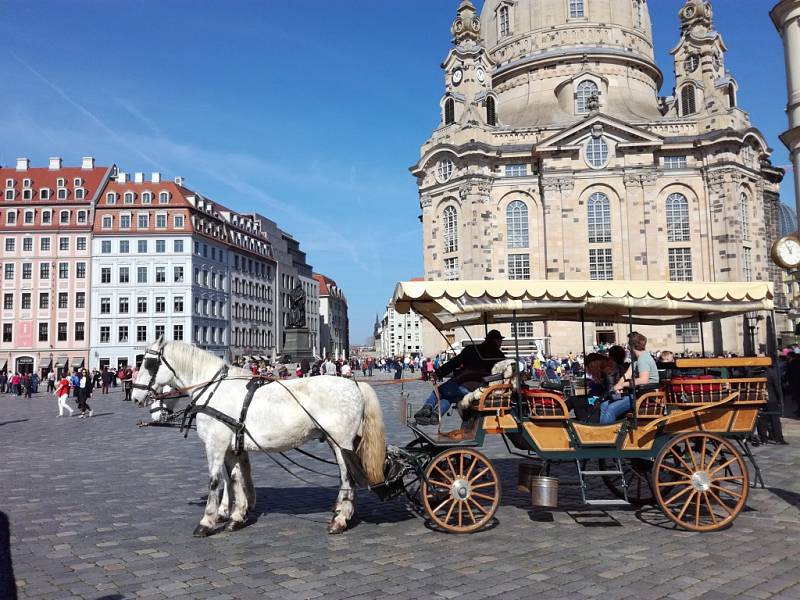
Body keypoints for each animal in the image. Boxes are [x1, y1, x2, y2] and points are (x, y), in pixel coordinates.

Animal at [132, 340, 388, 536]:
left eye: (148, 363)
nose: (135, 396)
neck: (214, 389)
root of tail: (355, 384)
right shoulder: (232, 446)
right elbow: (235, 479)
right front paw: (236, 516)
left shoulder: (215, 445)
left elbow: (215, 481)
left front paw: (207, 522)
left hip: (341, 442)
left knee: (348, 478)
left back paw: (339, 520)